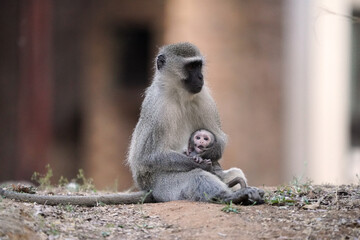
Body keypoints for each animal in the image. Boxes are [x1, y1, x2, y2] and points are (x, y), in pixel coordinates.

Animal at [128, 42, 262, 203]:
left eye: (198, 65)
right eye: (191, 67)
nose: (200, 76)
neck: (178, 95)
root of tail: (148, 189)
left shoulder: (204, 97)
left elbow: (220, 138)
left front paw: (208, 152)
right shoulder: (156, 107)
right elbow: (147, 157)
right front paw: (199, 161)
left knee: (234, 172)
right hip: (163, 187)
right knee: (196, 176)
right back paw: (229, 196)